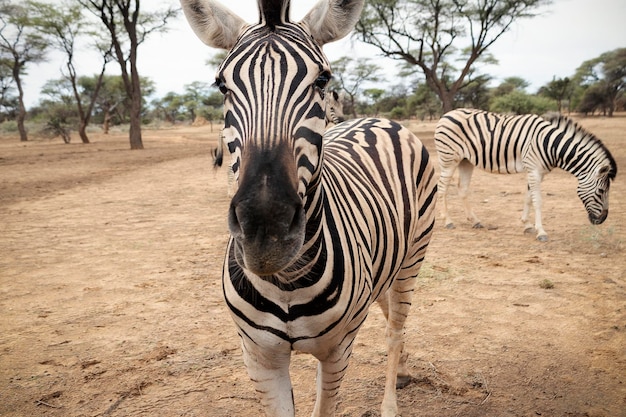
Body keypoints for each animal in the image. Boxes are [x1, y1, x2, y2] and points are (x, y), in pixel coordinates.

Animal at [178, 1, 436, 414]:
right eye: (221, 85)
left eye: (322, 80)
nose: (265, 232)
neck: (287, 281)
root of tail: (374, 119)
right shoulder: (259, 358)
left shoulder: (337, 352)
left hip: (414, 254)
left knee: (395, 328)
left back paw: (391, 401)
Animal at [434, 107, 616, 240]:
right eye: (601, 191)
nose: (602, 220)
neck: (551, 145)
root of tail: (447, 113)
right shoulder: (534, 170)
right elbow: (538, 201)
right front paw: (541, 231)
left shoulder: (538, 172)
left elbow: (529, 197)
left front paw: (527, 225)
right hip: (449, 159)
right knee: (442, 187)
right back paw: (448, 221)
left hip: (466, 160)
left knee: (462, 189)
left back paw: (475, 221)